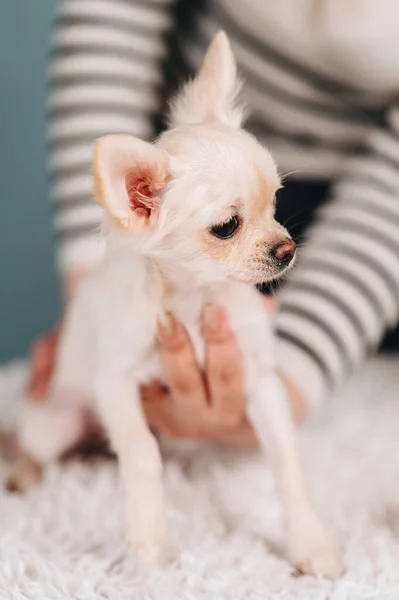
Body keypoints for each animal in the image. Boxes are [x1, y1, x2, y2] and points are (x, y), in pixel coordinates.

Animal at [18, 32, 340, 576]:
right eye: (227, 226)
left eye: (277, 202)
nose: (287, 249)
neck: (193, 297)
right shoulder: (116, 383)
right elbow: (142, 453)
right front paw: (149, 542)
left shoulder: (260, 383)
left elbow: (287, 463)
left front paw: (311, 543)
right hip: (55, 422)